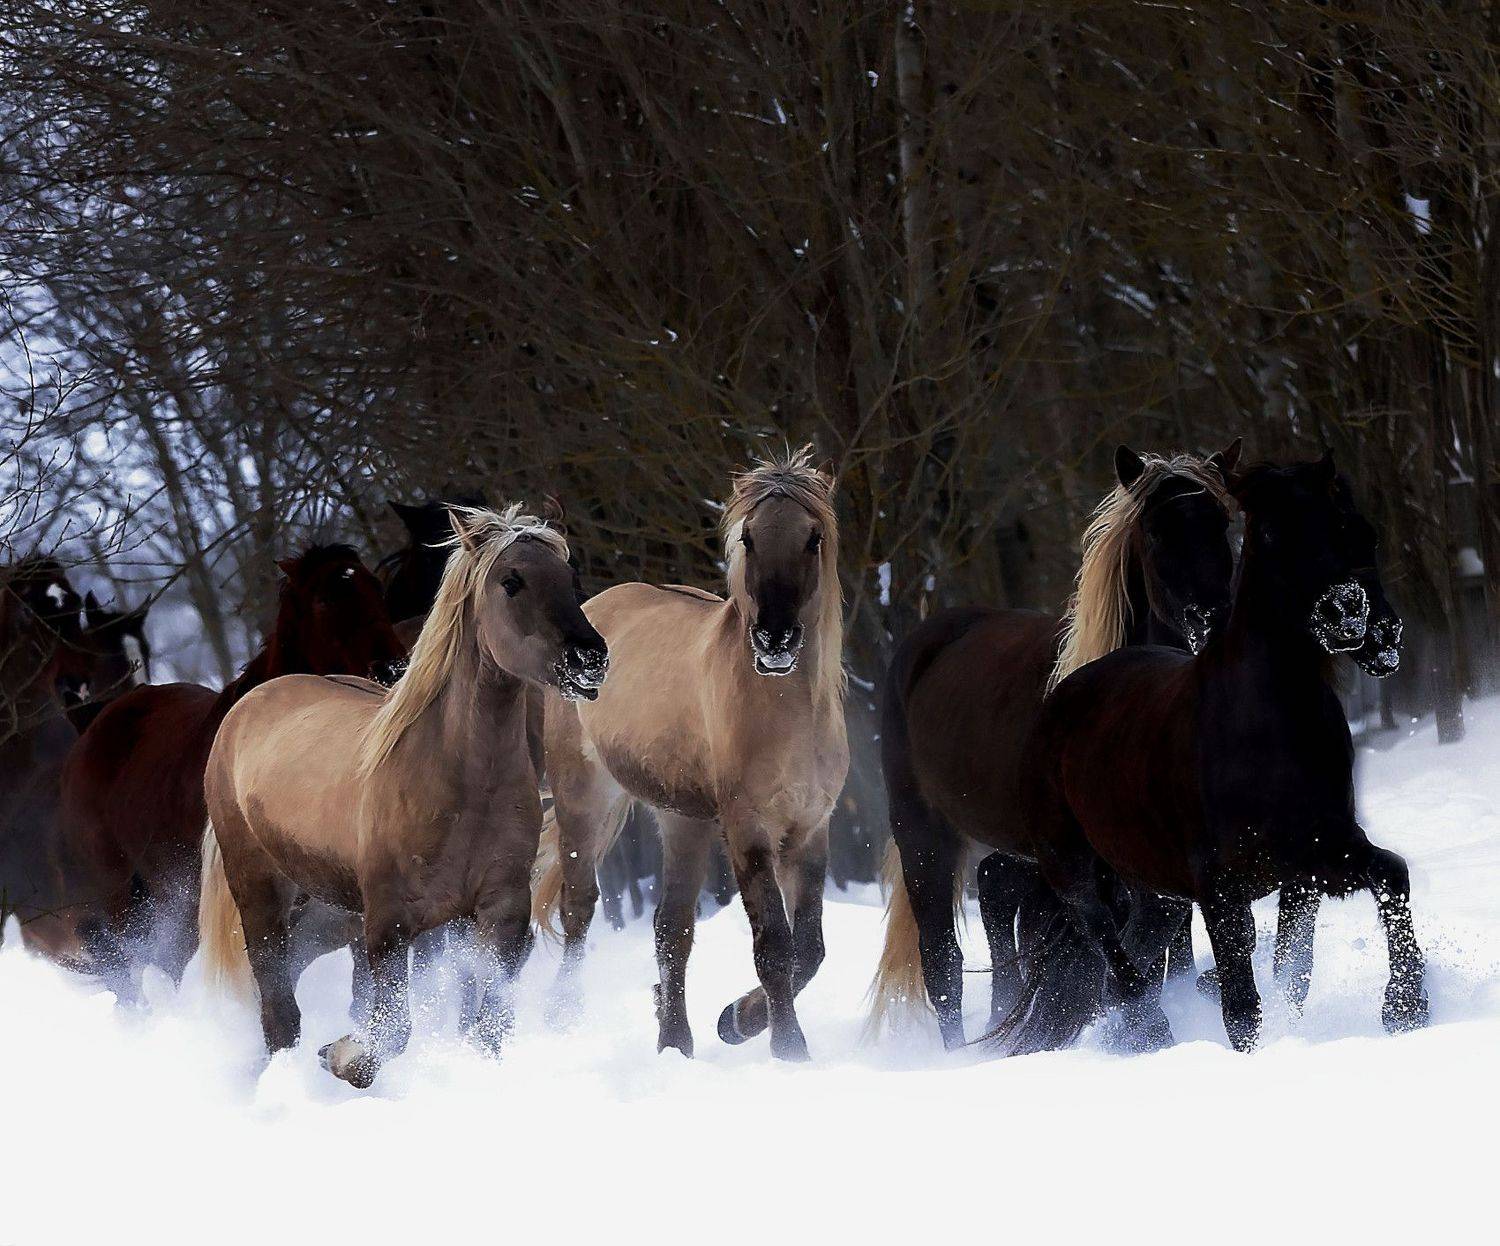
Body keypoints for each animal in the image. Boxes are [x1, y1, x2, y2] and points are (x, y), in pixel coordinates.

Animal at [198, 505, 608, 1088]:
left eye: (571, 580)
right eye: (511, 581)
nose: (590, 659)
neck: (458, 785)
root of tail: (243, 711)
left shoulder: (497, 909)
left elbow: (489, 1023)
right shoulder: (390, 924)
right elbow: (392, 1032)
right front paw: (341, 1053)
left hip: (329, 911)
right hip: (261, 895)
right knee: (279, 1011)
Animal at [534, 447, 848, 1061]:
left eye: (813, 537)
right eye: (748, 537)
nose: (775, 639)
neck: (789, 713)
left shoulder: (809, 829)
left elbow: (811, 949)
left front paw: (736, 1020)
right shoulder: (748, 828)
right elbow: (776, 946)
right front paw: (788, 1049)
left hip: (683, 820)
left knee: (671, 927)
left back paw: (674, 1041)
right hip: (586, 801)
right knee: (579, 909)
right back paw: (563, 1021)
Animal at [867, 443, 1240, 1050]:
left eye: (1222, 523)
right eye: (1156, 533)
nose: (1210, 621)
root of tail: (927, 640)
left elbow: (1164, 941)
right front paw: (1143, 1031)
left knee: (996, 892)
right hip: (923, 833)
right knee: (942, 961)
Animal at [997, 453, 1428, 1055]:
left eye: (1361, 532)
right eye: (1270, 533)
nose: (1354, 618)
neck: (1266, 728)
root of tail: (1059, 701)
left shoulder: (1316, 859)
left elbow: (1377, 889)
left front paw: (1404, 1009)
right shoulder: (1220, 887)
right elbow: (1242, 1003)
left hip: (1155, 893)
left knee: (1129, 955)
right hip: (1076, 873)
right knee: (1112, 954)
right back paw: (1151, 1036)